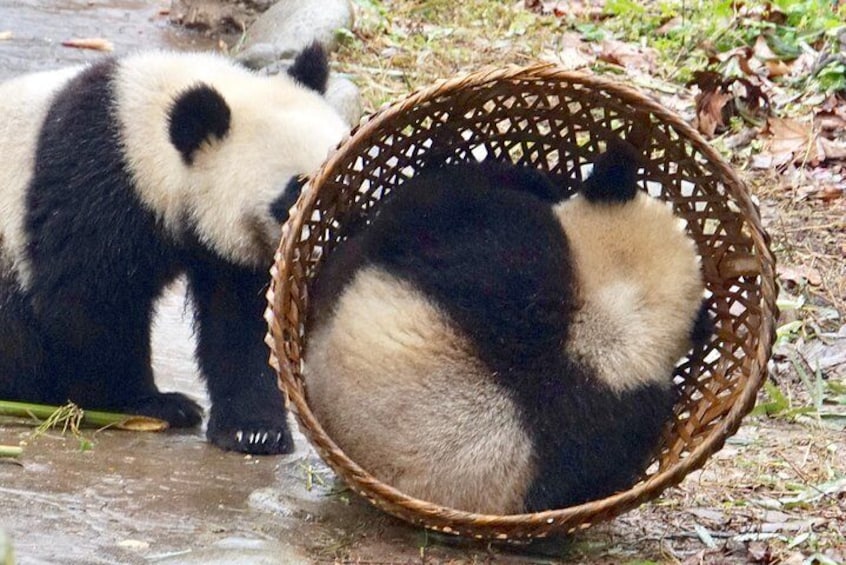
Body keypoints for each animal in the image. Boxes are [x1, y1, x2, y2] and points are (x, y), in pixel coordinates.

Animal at [0, 43, 348, 454]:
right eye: (296, 190)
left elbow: (239, 322)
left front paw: (254, 430)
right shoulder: (94, 186)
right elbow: (88, 300)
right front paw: (145, 403)